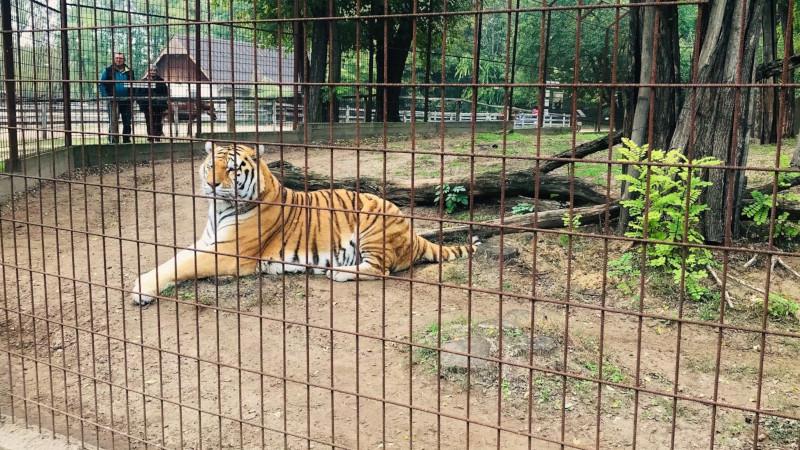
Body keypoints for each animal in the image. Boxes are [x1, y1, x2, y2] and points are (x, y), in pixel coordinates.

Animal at [130, 141, 478, 306]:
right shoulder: (207, 242)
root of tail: (413, 231)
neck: (220, 208)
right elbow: (175, 259)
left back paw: (338, 272)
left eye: (231, 169)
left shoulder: (227, 251)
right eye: (209, 165)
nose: (212, 185)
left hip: (373, 225)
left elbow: (183, 265)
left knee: (383, 270)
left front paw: (140, 290)